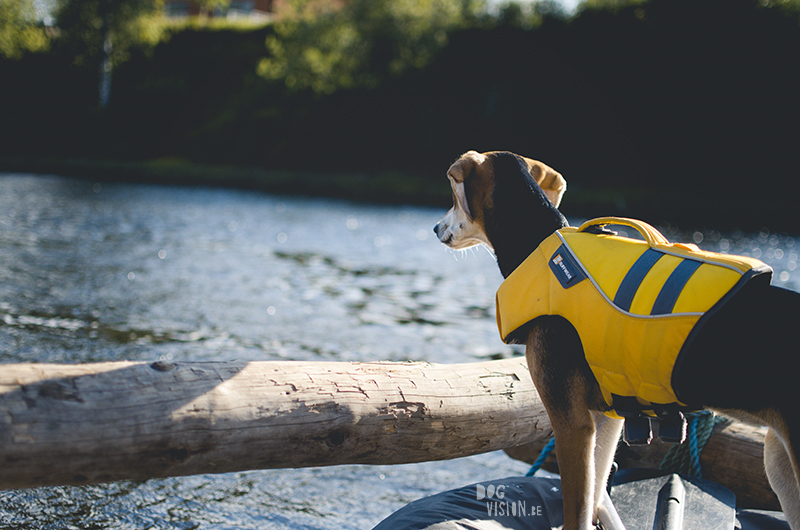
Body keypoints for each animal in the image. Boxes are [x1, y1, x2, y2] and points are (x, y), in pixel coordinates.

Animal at [434, 150, 800, 528]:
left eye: (453, 198)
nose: (435, 228)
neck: (538, 241)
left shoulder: (572, 425)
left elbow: (577, 509)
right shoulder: (607, 419)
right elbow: (595, 494)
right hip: (778, 461)